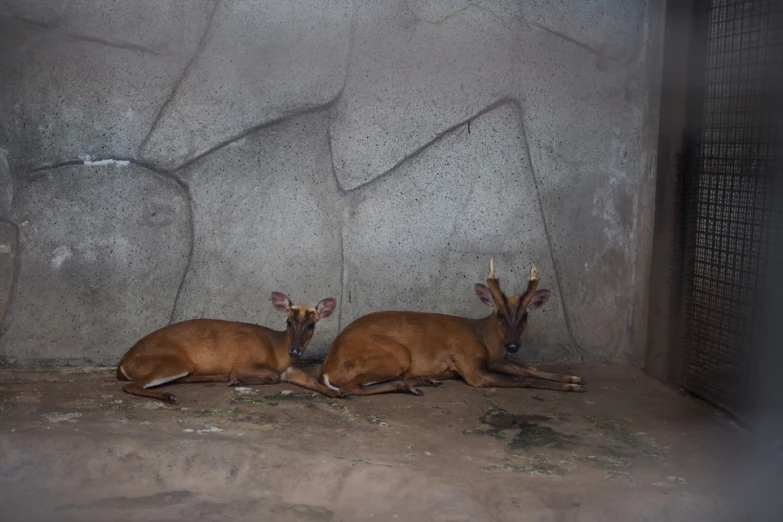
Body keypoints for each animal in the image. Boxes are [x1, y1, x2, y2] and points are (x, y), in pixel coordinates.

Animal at [116, 292, 344, 402]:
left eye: (311, 325)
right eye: (288, 322)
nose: (294, 350)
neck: (277, 351)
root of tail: (123, 363)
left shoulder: (289, 368)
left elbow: (311, 381)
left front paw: (339, 393)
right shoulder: (244, 363)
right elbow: (272, 376)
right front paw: (237, 381)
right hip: (172, 361)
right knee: (131, 385)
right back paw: (169, 396)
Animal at [316, 258, 580, 396]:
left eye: (524, 315)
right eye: (500, 315)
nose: (513, 344)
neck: (483, 337)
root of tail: (327, 368)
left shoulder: (494, 359)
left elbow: (528, 369)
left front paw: (573, 377)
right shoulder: (470, 365)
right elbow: (521, 379)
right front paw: (569, 386)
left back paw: (425, 381)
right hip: (396, 354)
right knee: (350, 387)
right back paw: (412, 386)